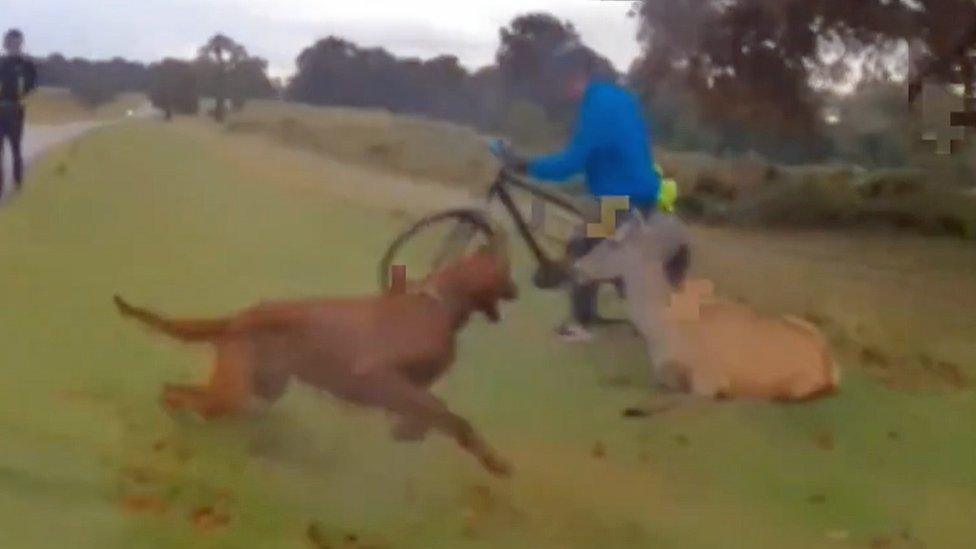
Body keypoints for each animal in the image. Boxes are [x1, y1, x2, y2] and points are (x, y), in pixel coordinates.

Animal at [115, 240, 520, 476]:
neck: (439, 301)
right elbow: (449, 414)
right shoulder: (377, 376)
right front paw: (495, 461)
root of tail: (237, 319)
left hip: (263, 387)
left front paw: (409, 431)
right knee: (177, 394)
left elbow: (436, 413)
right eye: (506, 272)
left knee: (182, 393)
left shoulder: (408, 390)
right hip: (232, 393)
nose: (518, 290)